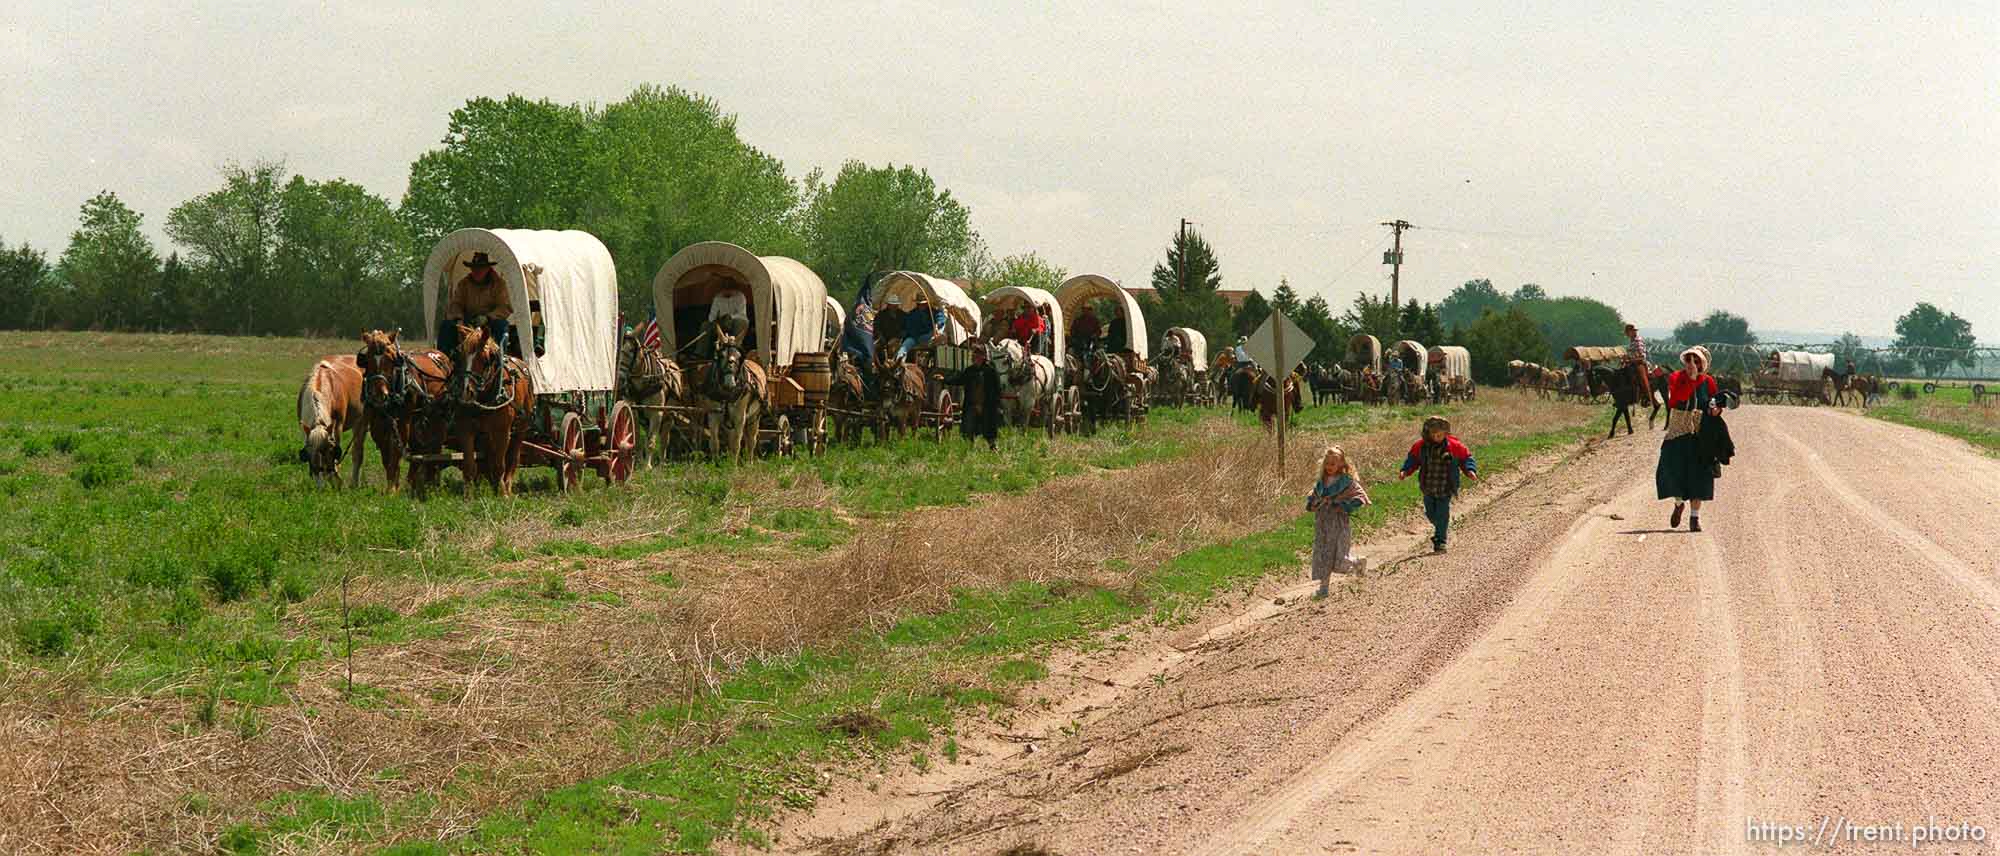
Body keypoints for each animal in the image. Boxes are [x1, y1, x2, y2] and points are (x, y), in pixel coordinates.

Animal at [292, 354, 364, 488]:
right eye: (307, 453)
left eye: (331, 450)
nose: (321, 471)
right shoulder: (305, 430)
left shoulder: (337, 426)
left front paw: (335, 479)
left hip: (360, 422)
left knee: (357, 452)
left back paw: (355, 482)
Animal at [360, 332, 458, 498]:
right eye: (368, 359)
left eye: (391, 359)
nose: (379, 395)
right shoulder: (377, 424)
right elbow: (386, 456)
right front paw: (392, 484)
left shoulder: (403, 420)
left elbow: (396, 452)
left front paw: (393, 489)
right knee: (418, 448)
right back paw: (416, 482)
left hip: (434, 418)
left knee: (433, 447)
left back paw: (428, 482)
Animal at [446, 320, 536, 494]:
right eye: (459, 355)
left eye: (487, 358)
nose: (465, 391)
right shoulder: (465, 429)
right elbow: (470, 466)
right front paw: (468, 495)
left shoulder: (502, 432)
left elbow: (500, 464)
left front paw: (502, 494)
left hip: (521, 427)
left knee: (513, 458)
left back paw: (506, 486)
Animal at [700, 334, 768, 464]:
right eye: (721, 355)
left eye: (739, 357)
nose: (730, 382)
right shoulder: (713, 415)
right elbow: (714, 442)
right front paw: (715, 464)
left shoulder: (740, 417)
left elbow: (736, 444)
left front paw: (733, 465)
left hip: (754, 417)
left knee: (751, 440)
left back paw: (749, 462)